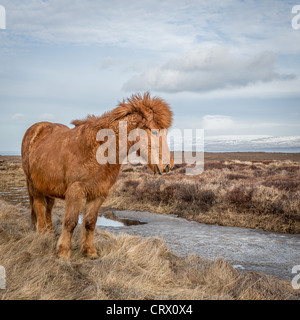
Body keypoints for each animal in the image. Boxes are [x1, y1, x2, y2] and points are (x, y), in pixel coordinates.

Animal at [21, 92, 173, 260]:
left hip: (48, 187)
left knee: (48, 209)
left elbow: (90, 222)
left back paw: (49, 233)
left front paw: (89, 251)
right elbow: (70, 221)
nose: (167, 166)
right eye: (154, 131)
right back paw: (42, 236)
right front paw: (63, 252)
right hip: (34, 185)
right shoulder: (75, 191)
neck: (97, 149)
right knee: (40, 208)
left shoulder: (99, 194)